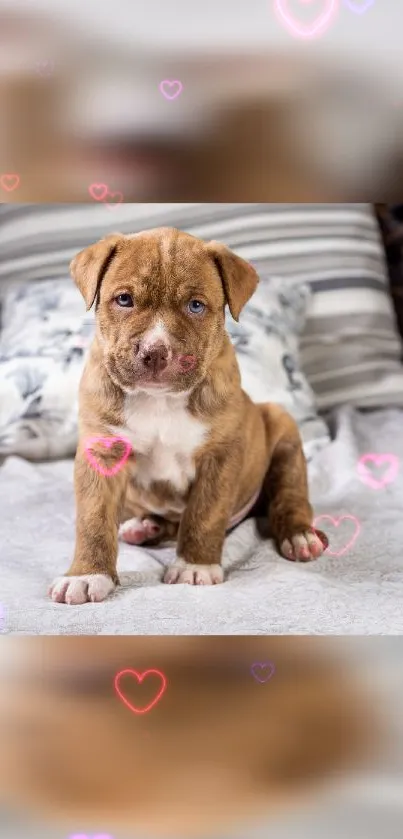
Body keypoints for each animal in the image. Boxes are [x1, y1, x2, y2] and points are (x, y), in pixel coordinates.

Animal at [49, 228, 326, 604]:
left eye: (195, 305)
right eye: (124, 299)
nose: (154, 352)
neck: (159, 400)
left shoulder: (219, 456)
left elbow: (204, 513)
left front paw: (195, 566)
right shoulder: (102, 450)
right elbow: (93, 519)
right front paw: (87, 575)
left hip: (281, 428)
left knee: (289, 495)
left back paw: (300, 536)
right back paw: (143, 526)